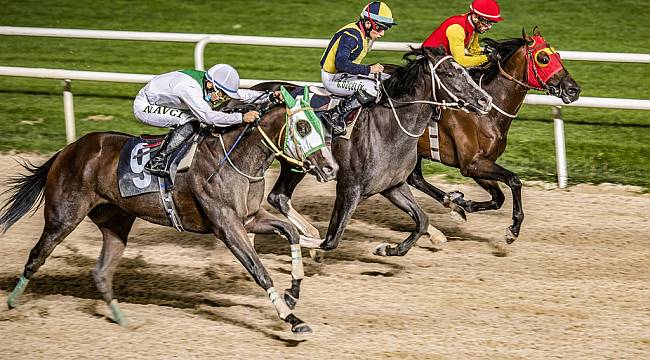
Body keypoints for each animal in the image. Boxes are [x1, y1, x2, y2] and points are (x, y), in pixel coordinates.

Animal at [3, 100, 340, 334]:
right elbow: (260, 270)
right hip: (63, 217)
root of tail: (68, 150)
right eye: (303, 128)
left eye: (323, 129)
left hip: (116, 222)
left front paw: (293, 292)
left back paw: (123, 320)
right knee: (36, 256)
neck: (237, 157)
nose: (331, 168)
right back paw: (12, 305)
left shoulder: (251, 218)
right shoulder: (227, 225)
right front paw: (291, 318)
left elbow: (291, 232)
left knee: (101, 272)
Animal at [264, 46, 492, 258]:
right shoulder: (349, 189)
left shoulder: (393, 187)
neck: (387, 129)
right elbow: (331, 240)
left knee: (278, 197)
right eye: (449, 74)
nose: (485, 100)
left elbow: (422, 220)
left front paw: (388, 249)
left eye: (465, 70)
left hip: (294, 166)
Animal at [408, 27, 580, 242]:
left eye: (558, 55)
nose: (574, 90)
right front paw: (513, 229)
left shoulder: (482, 163)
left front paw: (461, 204)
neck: (487, 112)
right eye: (543, 58)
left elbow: (499, 197)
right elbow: (514, 180)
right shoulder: (471, 163)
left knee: (414, 178)